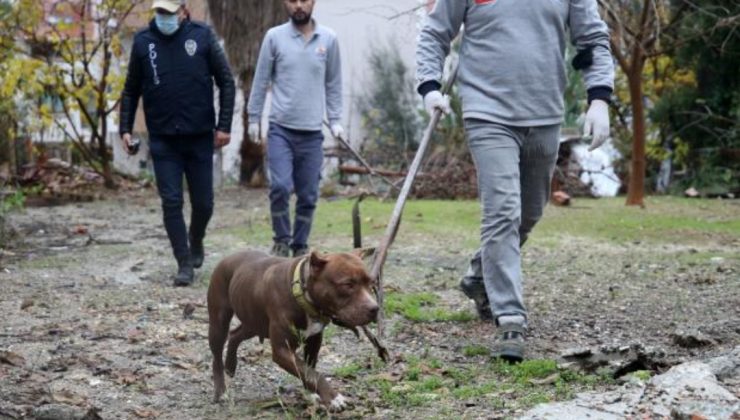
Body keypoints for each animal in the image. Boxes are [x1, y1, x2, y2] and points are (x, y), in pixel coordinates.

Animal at [210, 249, 378, 410]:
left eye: (371, 283)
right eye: (347, 284)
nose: (375, 308)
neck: (301, 292)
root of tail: (227, 257)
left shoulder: (314, 341)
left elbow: (309, 369)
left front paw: (312, 394)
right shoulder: (282, 350)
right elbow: (311, 372)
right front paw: (333, 398)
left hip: (254, 322)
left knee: (235, 334)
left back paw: (230, 365)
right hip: (219, 323)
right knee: (217, 355)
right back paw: (221, 391)